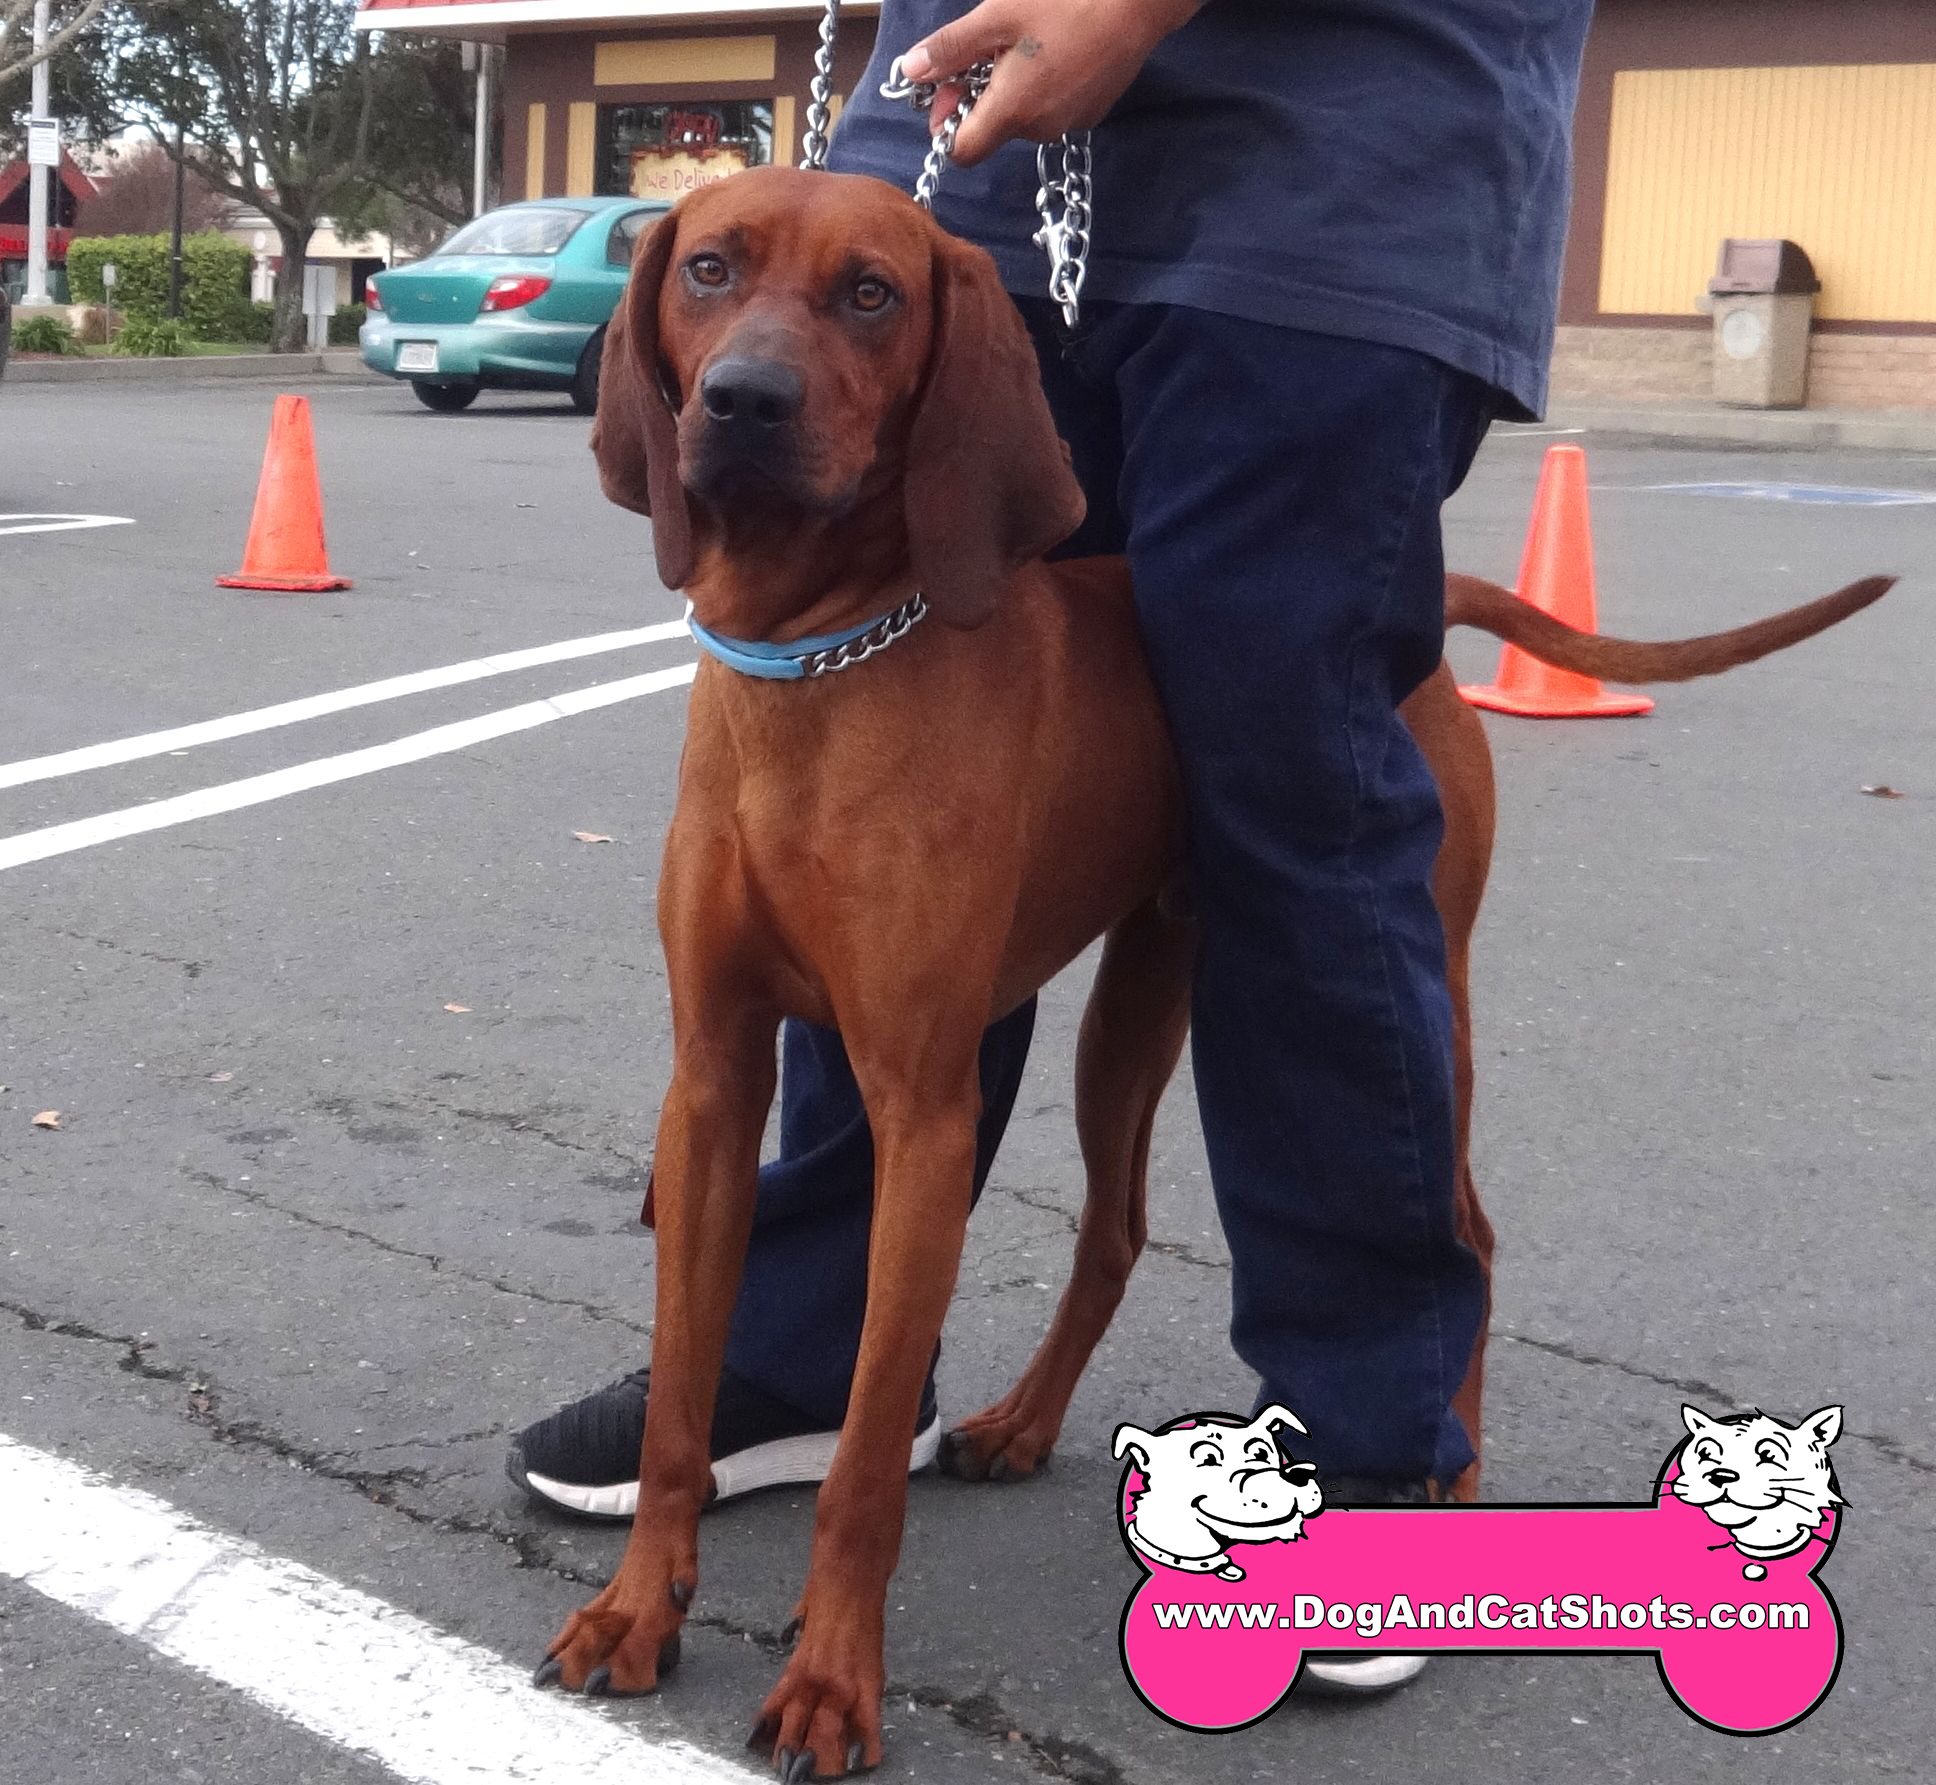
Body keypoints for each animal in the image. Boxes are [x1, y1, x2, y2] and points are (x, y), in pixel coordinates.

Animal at [542, 163, 1889, 1765]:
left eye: (870, 292)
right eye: (708, 267)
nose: (744, 401)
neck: (815, 666)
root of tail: (1420, 640)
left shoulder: (923, 1109)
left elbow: (866, 1462)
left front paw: (830, 1679)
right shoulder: (712, 1082)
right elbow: (685, 1397)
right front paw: (638, 1607)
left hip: (1405, 972)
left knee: (1461, 1229)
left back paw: (1442, 1479)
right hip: (1133, 1004)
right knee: (1118, 1228)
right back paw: (1022, 1424)